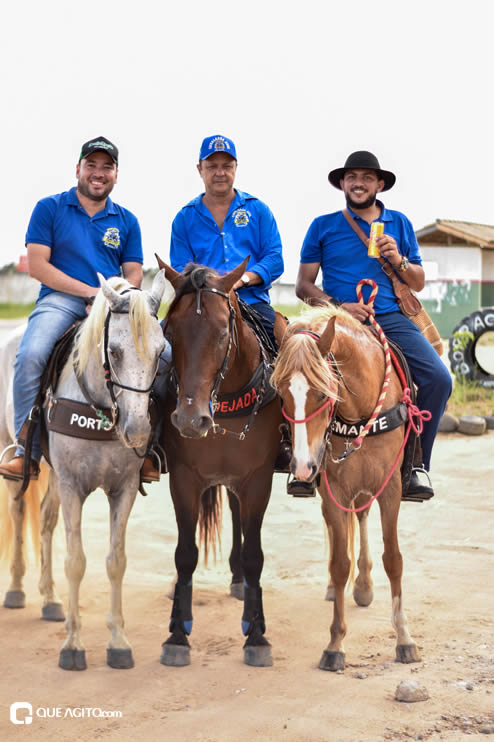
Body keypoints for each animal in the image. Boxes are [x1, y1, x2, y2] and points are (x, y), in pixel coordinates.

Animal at [0, 274, 170, 676]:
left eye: (160, 352)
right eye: (116, 352)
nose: (137, 430)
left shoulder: (122, 489)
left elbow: (116, 561)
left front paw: (118, 643)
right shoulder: (73, 487)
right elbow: (76, 562)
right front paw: (73, 646)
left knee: (45, 521)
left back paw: (49, 599)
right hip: (18, 463)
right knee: (18, 513)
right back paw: (15, 589)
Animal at [156, 258, 284, 672]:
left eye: (222, 333)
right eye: (170, 331)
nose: (189, 419)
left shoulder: (258, 479)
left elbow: (255, 555)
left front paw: (257, 635)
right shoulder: (184, 479)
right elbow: (185, 554)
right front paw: (177, 634)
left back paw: (240, 583)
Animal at [270, 306, 420, 676]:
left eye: (323, 394)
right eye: (281, 393)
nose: (302, 467)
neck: (360, 412)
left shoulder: (390, 488)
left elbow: (393, 559)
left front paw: (404, 638)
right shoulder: (334, 491)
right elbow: (339, 562)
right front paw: (335, 644)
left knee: (363, 517)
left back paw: (364, 586)